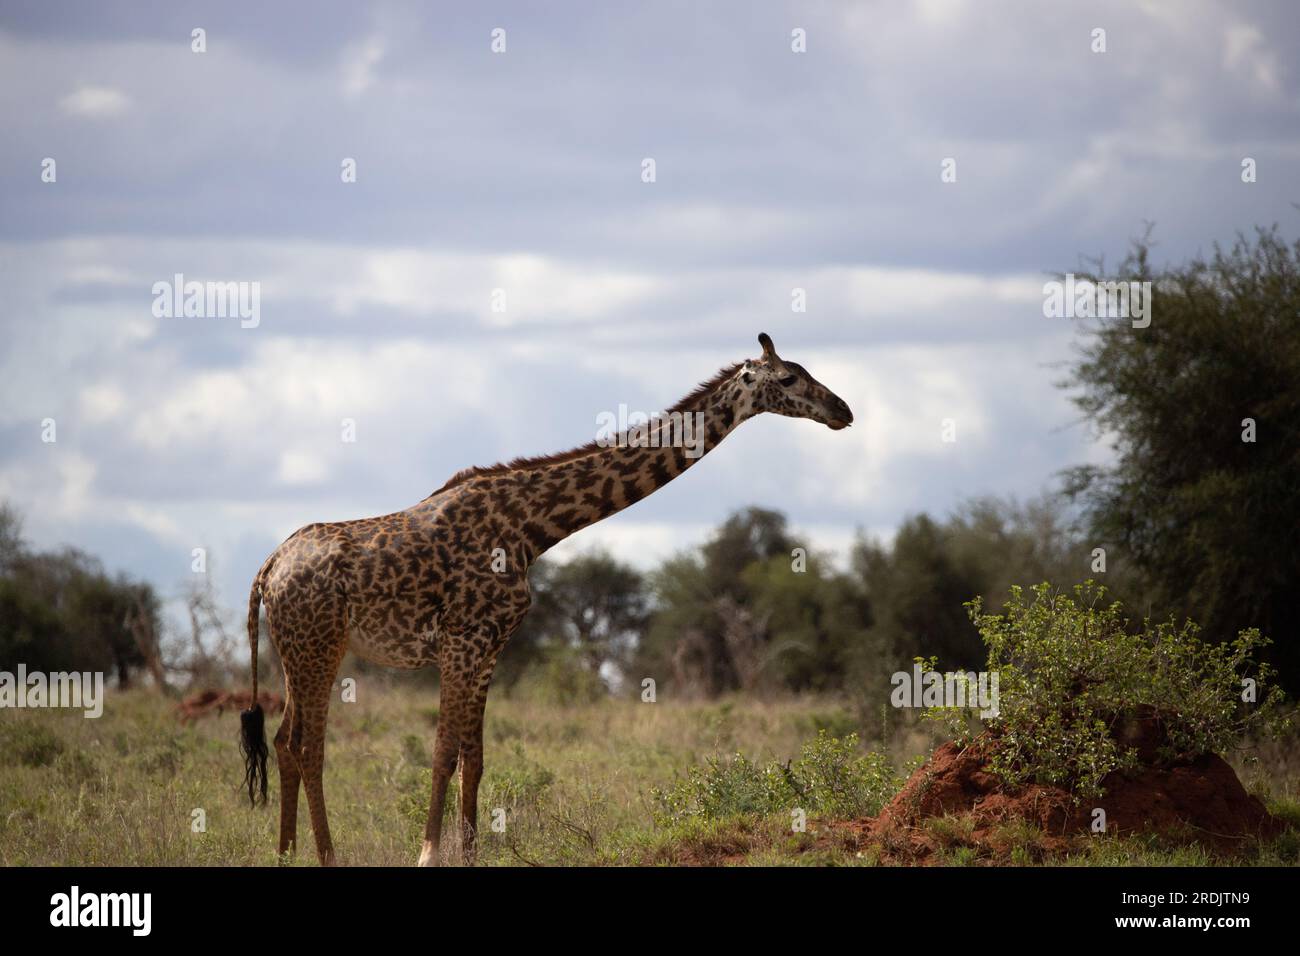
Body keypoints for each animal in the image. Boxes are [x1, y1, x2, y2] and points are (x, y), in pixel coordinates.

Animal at [241, 335, 852, 868]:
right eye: (789, 377)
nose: (843, 409)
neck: (533, 527)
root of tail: (268, 570)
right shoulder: (462, 642)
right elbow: (443, 753)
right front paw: (430, 854)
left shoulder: (489, 648)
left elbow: (474, 759)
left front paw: (470, 855)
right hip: (320, 648)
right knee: (309, 747)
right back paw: (324, 856)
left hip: (296, 654)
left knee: (284, 742)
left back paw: (284, 855)